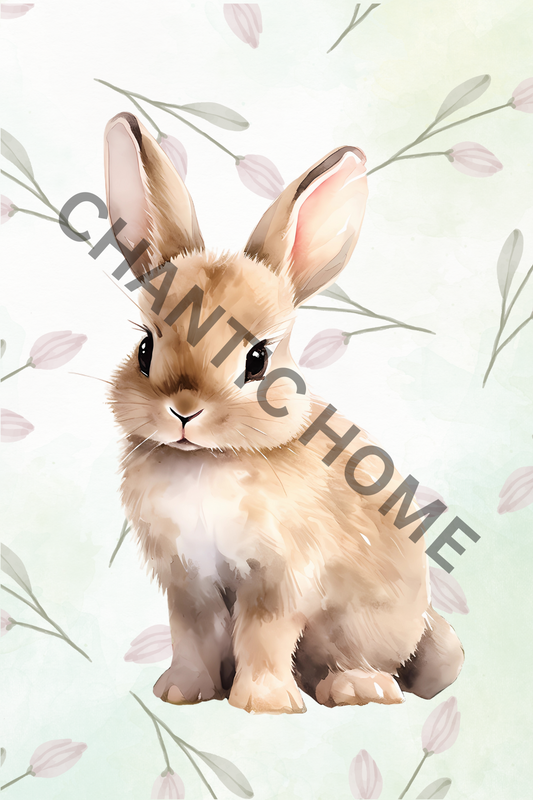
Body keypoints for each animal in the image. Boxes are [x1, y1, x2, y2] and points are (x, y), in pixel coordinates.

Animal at [105, 112, 464, 714]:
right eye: (146, 348)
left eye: (258, 359)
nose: (183, 411)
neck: (207, 460)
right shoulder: (187, 583)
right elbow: (192, 635)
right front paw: (180, 692)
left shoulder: (279, 577)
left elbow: (264, 633)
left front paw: (264, 703)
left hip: (359, 625)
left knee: (364, 666)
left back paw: (355, 687)